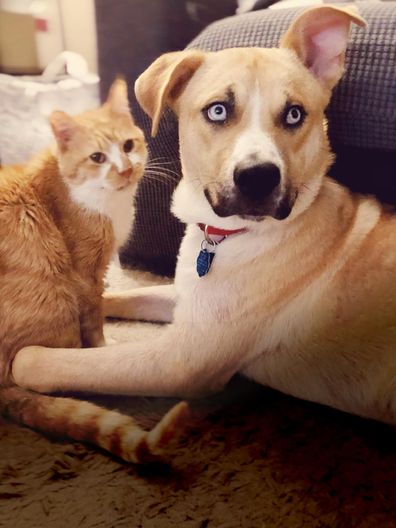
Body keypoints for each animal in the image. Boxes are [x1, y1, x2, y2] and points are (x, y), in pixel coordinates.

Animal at [0, 78, 188, 462]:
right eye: (98, 158)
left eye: (128, 145)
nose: (126, 169)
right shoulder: (85, 273)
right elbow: (94, 318)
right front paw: (102, 346)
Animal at [10, 4, 396, 424]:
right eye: (218, 110)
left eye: (295, 115)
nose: (258, 177)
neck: (225, 236)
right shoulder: (186, 300)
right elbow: (119, 295)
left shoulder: (181, 359)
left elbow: (45, 361)